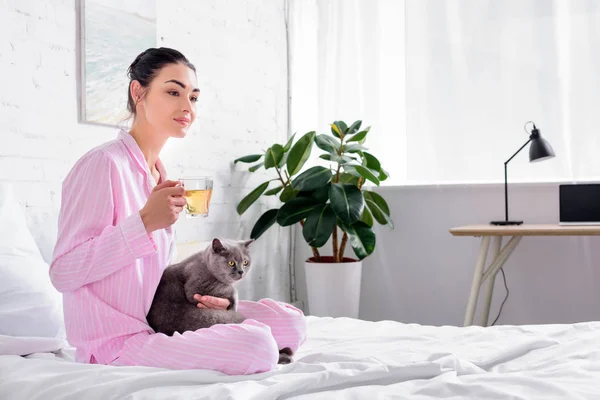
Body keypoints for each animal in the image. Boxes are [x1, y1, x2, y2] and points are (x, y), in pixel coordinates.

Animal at [146, 238, 294, 366]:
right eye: (231, 263)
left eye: (245, 262)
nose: (241, 271)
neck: (205, 263)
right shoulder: (195, 287)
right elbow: (230, 288)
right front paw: (234, 302)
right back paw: (287, 357)